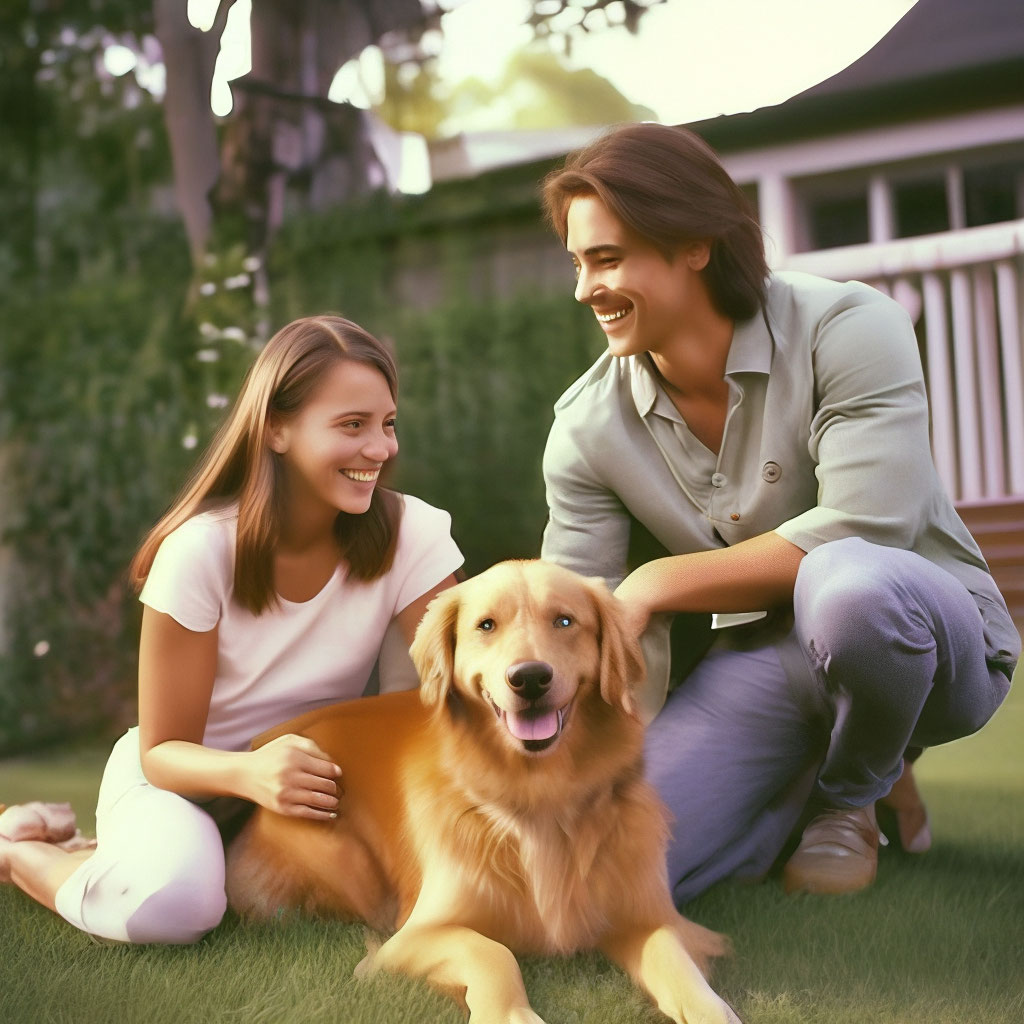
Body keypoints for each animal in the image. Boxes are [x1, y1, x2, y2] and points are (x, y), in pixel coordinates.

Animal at [224, 561, 741, 1024]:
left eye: (565, 621)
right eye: (486, 625)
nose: (529, 678)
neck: (539, 797)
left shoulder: (645, 916)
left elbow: (675, 959)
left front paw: (712, 1010)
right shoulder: (410, 938)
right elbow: (491, 951)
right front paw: (510, 1014)